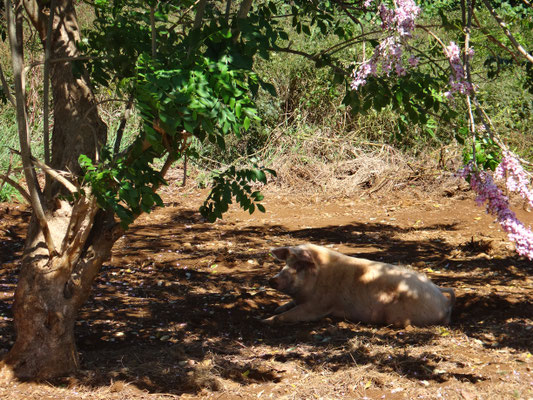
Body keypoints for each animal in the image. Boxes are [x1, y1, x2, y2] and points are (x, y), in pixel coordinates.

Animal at [264, 242, 456, 326]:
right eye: (286, 262)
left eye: (299, 265)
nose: (272, 280)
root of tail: (444, 302)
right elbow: (287, 306)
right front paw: (275, 309)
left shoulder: (319, 305)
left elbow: (290, 314)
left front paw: (265, 320)